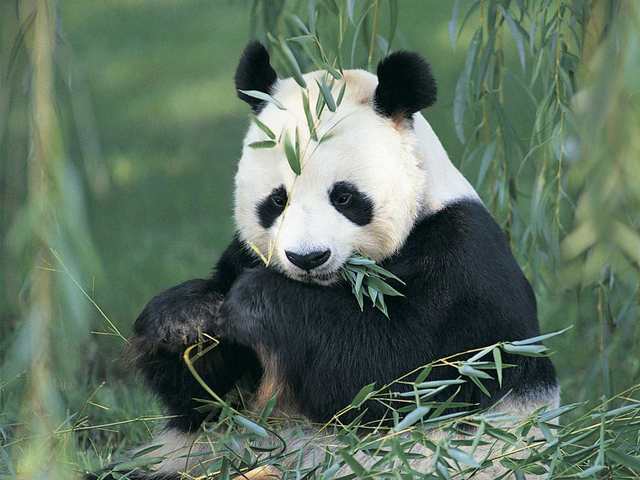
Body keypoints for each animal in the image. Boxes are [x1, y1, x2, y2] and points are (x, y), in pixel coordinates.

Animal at [94, 42, 558, 479]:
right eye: (276, 200)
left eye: (345, 197)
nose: (307, 257)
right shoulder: (241, 255)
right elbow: (209, 400)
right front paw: (185, 318)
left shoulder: (462, 266)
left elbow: (395, 374)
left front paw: (258, 301)